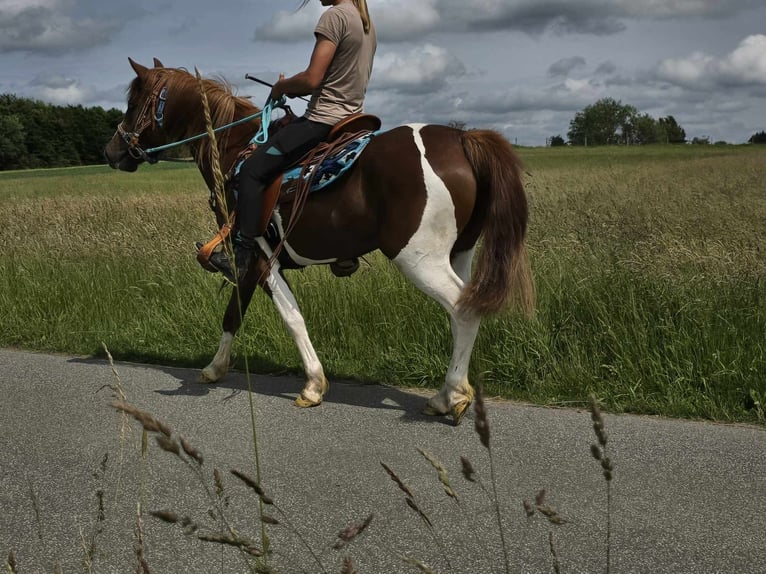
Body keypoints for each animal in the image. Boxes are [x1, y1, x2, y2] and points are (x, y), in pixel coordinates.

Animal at [104, 58, 535, 424]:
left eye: (133, 101)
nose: (111, 151)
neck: (234, 150)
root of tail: (462, 139)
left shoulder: (259, 257)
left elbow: (290, 317)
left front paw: (313, 384)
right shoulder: (248, 261)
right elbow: (234, 314)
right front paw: (214, 367)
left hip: (419, 258)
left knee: (462, 309)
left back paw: (451, 397)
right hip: (459, 253)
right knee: (463, 313)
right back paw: (450, 391)